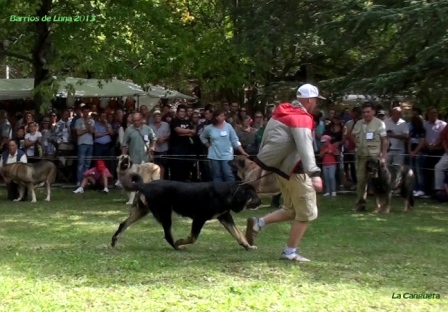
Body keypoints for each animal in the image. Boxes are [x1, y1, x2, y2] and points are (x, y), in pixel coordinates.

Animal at [111, 173, 262, 251]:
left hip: (142, 211)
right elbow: (193, 238)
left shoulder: (225, 218)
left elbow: (238, 234)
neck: (229, 193)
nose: (260, 201)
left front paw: (248, 246)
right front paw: (181, 242)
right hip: (165, 213)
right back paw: (177, 246)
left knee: (123, 224)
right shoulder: (199, 218)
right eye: (254, 195)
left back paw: (114, 240)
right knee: (167, 235)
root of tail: (144, 185)